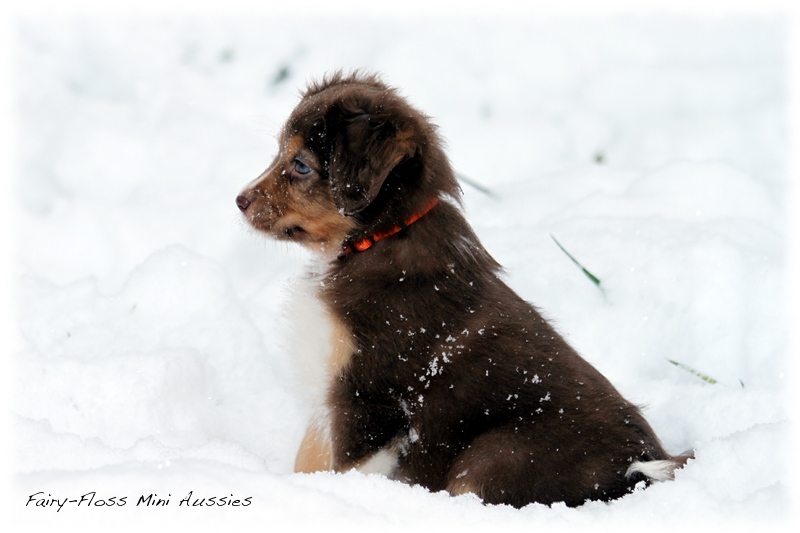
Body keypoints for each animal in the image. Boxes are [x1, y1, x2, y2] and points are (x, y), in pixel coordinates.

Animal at [234, 71, 692, 508]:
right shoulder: (330, 392)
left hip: (494, 453)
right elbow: (309, 454)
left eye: (301, 165)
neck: (378, 239)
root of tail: (643, 468)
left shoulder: (370, 398)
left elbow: (347, 469)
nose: (239, 201)